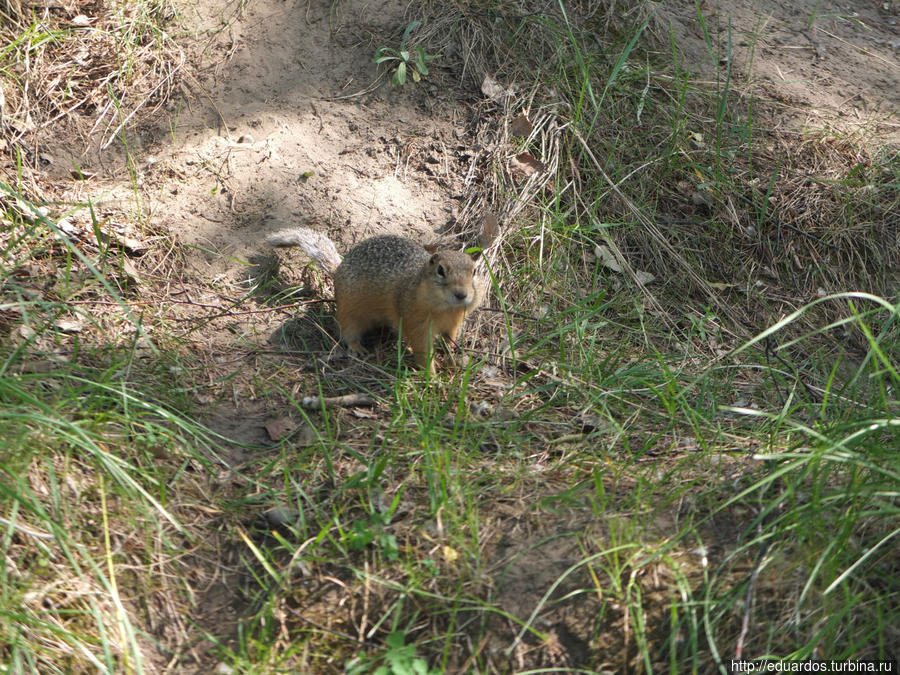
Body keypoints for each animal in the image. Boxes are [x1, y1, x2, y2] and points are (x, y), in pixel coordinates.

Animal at [266, 230, 482, 372]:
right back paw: (358, 348)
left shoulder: (453, 322)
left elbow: (449, 337)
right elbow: (422, 350)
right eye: (440, 270)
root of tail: (337, 271)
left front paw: (451, 353)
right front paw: (431, 376)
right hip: (350, 312)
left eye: (474, 271)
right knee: (347, 331)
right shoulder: (416, 323)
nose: (461, 294)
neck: (444, 309)